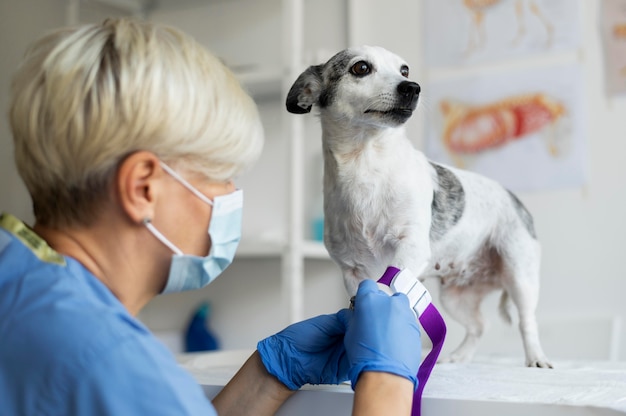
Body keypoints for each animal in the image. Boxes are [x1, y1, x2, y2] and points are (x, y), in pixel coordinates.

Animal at [286, 45, 548, 368]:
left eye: (404, 70)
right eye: (361, 68)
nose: (412, 87)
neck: (366, 166)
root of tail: (513, 198)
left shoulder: (409, 248)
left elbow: (385, 290)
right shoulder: (351, 271)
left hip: (520, 277)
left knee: (526, 322)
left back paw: (536, 358)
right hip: (455, 298)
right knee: (479, 326)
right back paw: (459, 357)